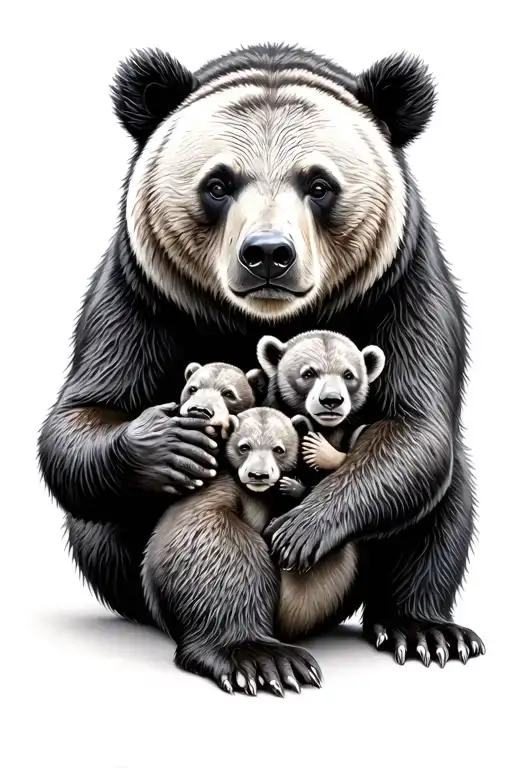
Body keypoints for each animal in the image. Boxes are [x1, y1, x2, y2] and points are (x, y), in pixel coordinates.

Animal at [38, 43, 485, 684]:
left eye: (319, 185)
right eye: (218, 184)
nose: (268, 254)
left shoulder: (403, 282)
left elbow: (413, 428)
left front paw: (306, 526)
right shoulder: (140, 287)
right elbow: (82, 417)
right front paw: (167, 443)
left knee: (442, 499)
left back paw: (420, 627)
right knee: (205, 541)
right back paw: (252, 651)